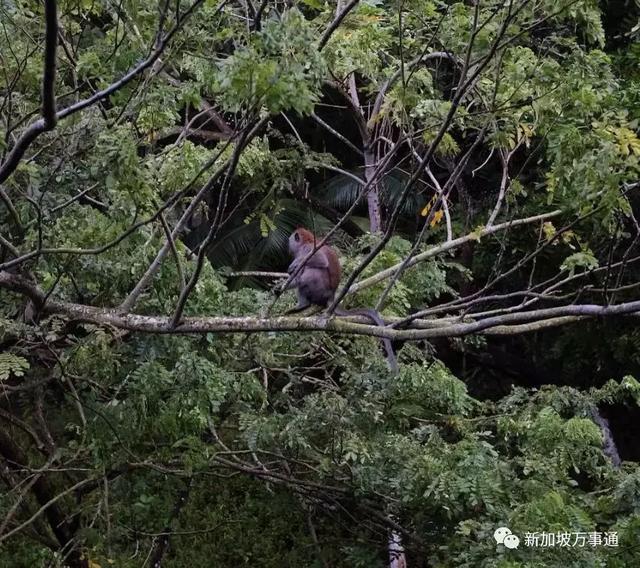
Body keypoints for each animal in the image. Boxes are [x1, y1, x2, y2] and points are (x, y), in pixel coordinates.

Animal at [282, 226, 398, 372]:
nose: (288, 245)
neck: (308, 242)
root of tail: (331, 296)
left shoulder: (307, 250)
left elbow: (319, 261)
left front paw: (294, 265)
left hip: (320, 288)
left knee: (311, 270)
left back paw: (303, 303)